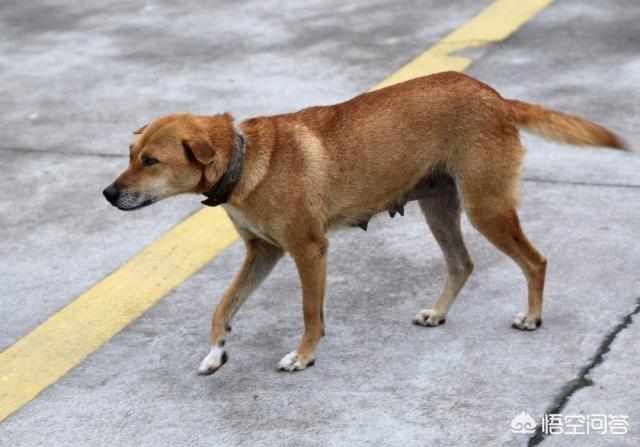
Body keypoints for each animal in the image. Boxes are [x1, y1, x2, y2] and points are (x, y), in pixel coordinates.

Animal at [102, 72, 624, 374]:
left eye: (150, 161)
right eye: (129, 154)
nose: (107, 194)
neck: (246, 158)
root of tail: (498, 97)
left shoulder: (308, 250)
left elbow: (309, 311)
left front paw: (304, 355)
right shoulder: (263, 253)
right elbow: (223, 306)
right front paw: (216, 352)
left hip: (486, 208)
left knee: (535, 261)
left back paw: (532, 316)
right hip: (440, 209)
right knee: (462, 264)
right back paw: (438, 313)